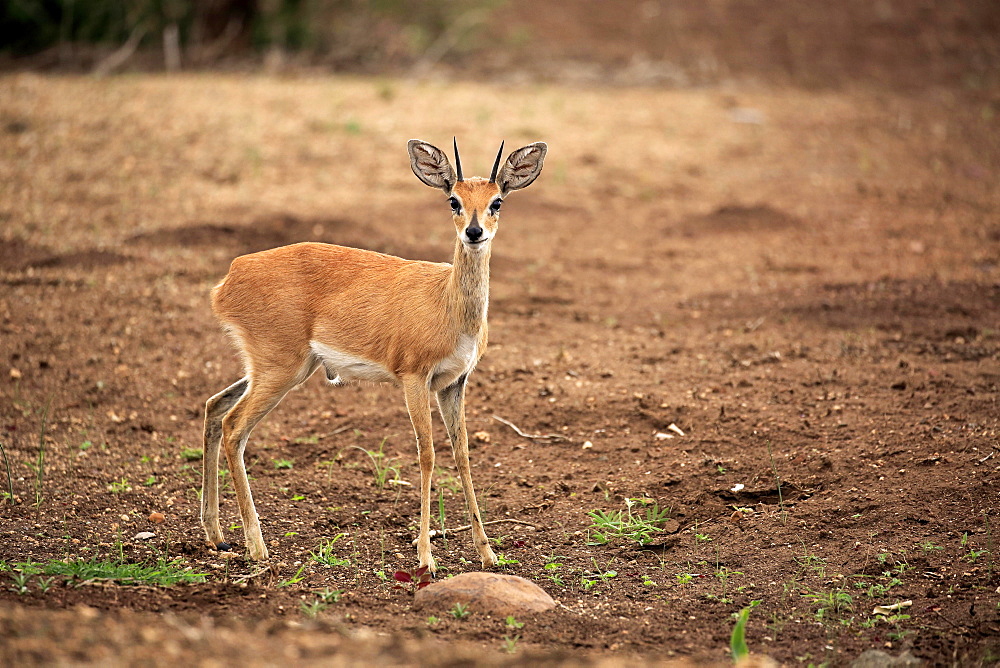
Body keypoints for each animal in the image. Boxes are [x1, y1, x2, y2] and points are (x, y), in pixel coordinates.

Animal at [201, 138, 548, 572]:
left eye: (497, 201)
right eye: (453, 199)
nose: (474, 231)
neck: (448, 304)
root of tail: (229, 277)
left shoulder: (454, 383)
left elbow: (463, 454)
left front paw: (488, 553)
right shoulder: (414, 379)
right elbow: (427, 455)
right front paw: (425, 556)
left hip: (279, 369)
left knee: (214, 406)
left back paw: (216, 536)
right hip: (280, 370)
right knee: (234, 427)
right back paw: (256, 546)